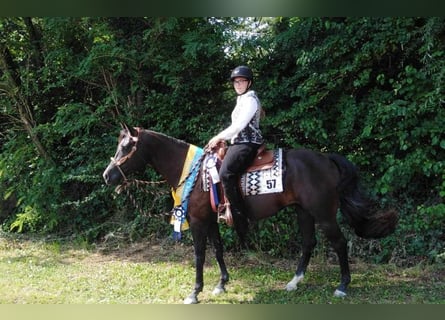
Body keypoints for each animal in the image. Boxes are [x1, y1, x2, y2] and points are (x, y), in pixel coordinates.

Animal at [102, 125, 398, 302]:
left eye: (127, 147)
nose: (108, 175)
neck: (195, 174)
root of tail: (326, 158)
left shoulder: (197, 221)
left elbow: (199, 255)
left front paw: (195, 292)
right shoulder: (211, 220)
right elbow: (218, 249)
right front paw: (221, 284)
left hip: (323, 214)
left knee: (339, 243)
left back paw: (342, 286)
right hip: (303, 212)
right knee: (308, 243)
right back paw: (294, 282)